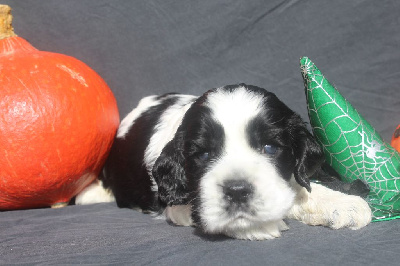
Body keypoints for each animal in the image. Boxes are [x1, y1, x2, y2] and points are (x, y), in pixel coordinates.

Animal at [76, 84, 372, 240]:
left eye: (270, 148)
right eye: (204, 155)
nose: (237, 191)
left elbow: (297, 187)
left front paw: (340, 204)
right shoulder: (178, 204)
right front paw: (256, 225)